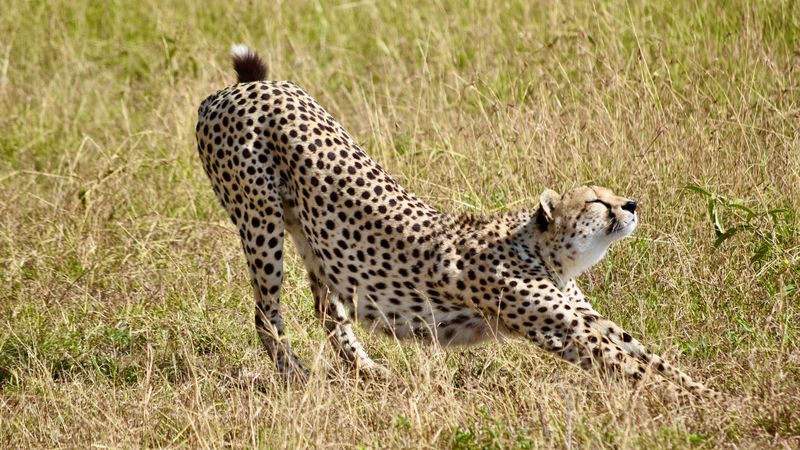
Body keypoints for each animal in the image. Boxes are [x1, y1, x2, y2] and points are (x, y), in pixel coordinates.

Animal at [194, 45, 720, 399]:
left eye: (610, 193)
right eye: (596, 201)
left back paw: (368, 372)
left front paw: (709, 393)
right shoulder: (565, 331)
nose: (631, 204)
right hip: (260, 222)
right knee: (267, 315)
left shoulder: (587, 317)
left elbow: (650, 357)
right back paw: (297, 377)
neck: (543, 251)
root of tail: (245, 87)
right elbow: (633, 369)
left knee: (329, 309)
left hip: (313, 235)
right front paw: (696, 408)